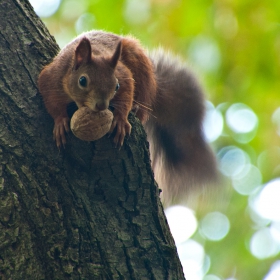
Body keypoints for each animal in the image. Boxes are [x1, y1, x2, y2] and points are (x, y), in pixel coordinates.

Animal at [37, 29, 217, 202]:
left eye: (115, 85)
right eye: (82, 81)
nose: (102, 105)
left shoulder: (124, 75)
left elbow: (127, 92)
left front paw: (121, 120)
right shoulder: (52, 76)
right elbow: (49, 96)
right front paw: (60, 122)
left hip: (141, 70)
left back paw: (136, 108)